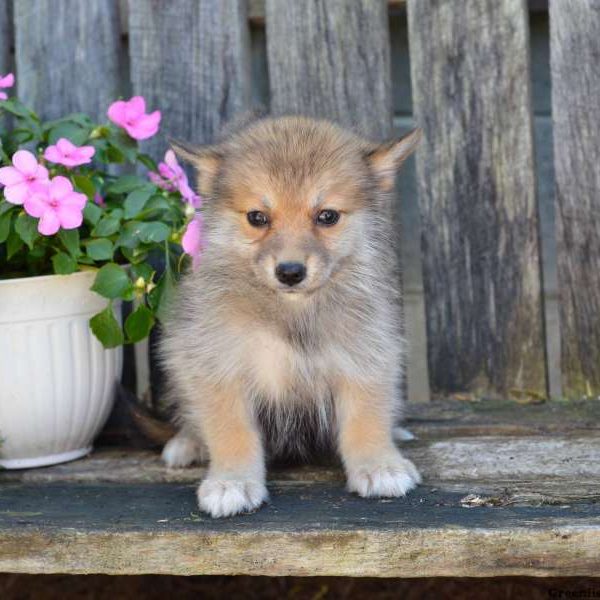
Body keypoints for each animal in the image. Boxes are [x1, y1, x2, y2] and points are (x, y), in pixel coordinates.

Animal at [159, 116, 422, 516]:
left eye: (327, 216)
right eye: (257, 217)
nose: (290, 271)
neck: (291, 314)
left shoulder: (365, 356)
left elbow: (366, 417)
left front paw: (379, 464)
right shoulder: (218, 364)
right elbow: (231, 430)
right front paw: (231, 481)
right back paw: (189, 442)